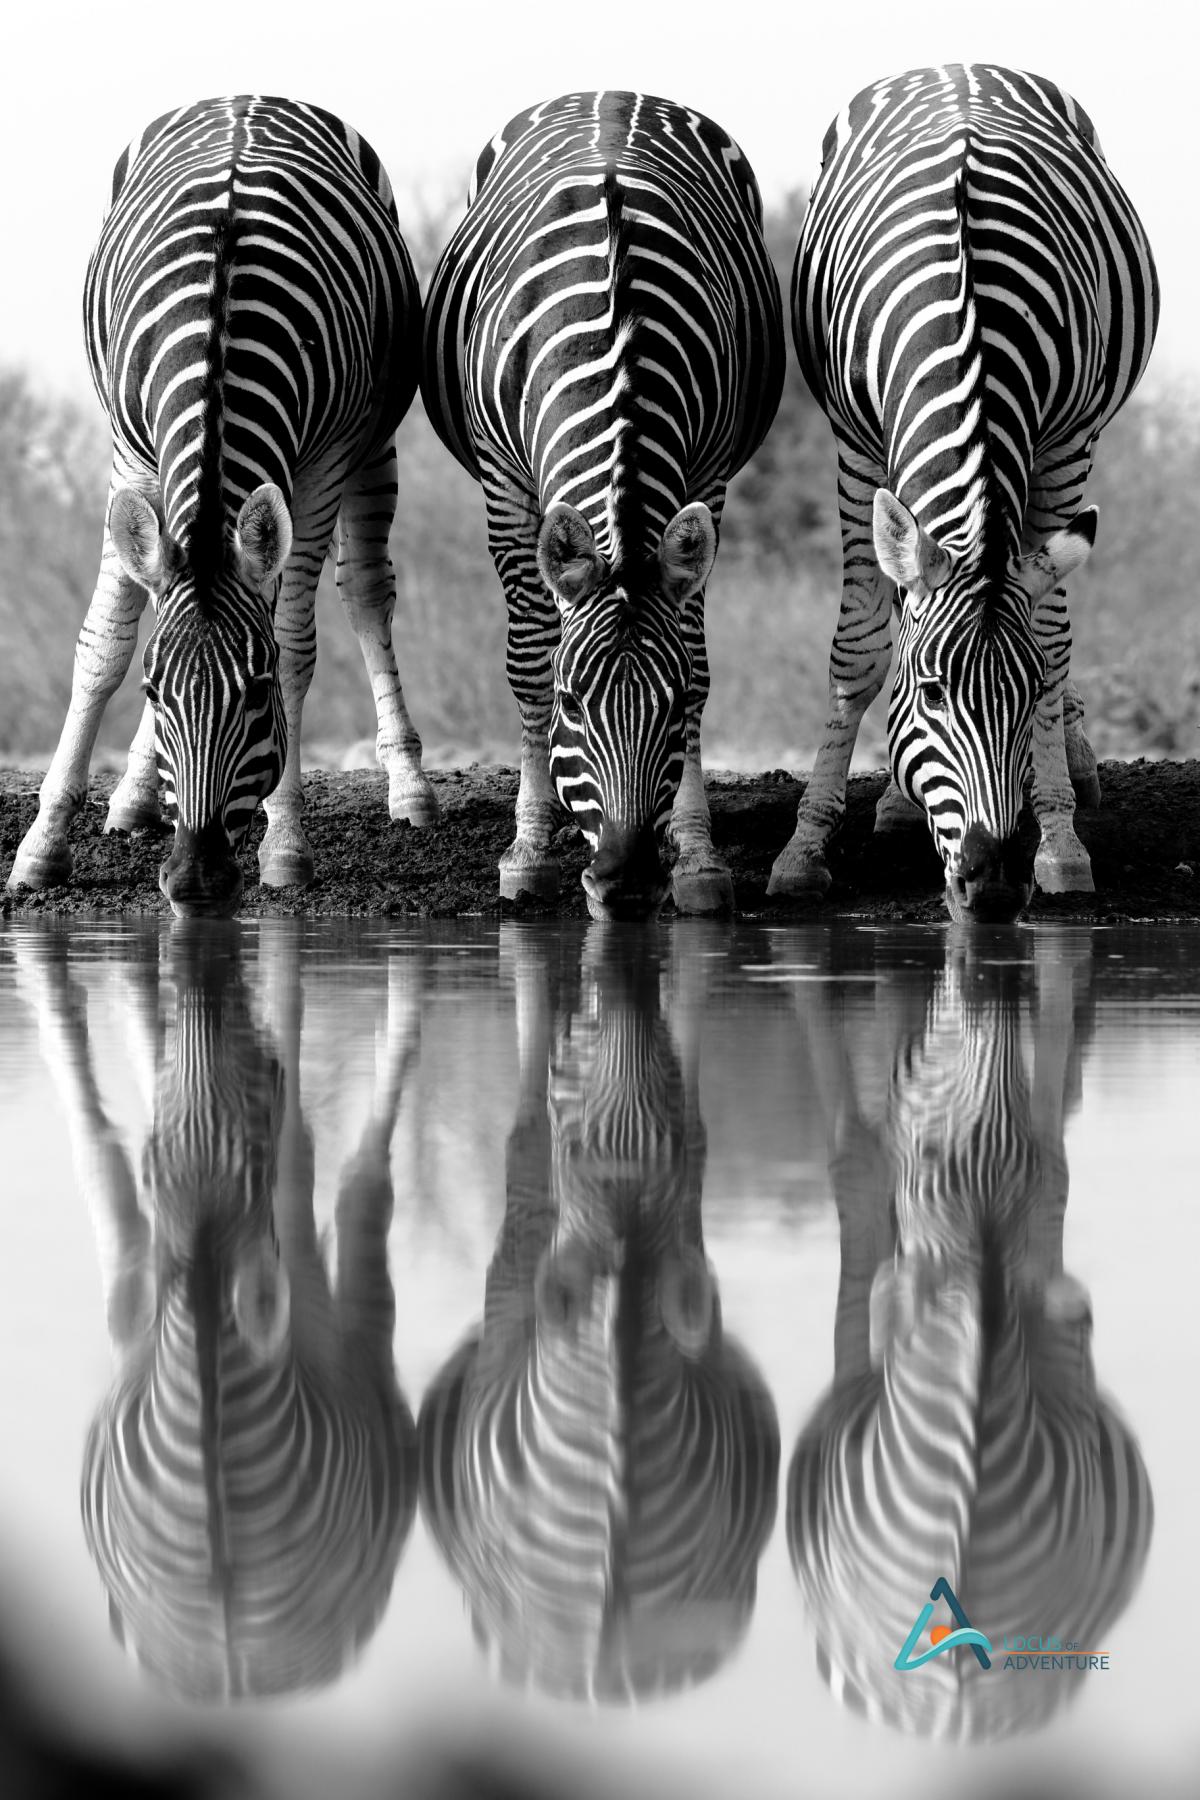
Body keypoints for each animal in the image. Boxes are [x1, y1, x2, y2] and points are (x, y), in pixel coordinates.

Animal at [7, 95, 435, 919]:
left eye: (260, 693)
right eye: (153, 691)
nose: (195, 884)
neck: (220, 312)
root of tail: (252, 95)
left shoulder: (323, 463)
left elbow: (296, 643)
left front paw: (286, 844)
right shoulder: (130, 454)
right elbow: (105, 642)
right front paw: (42, 846)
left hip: (374, 443)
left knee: (367, 593)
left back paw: (411, 790)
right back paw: (133, 798)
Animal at [420, 92, 785, 918]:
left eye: (674, 706)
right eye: (571, 703)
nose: (624, 882)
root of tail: (609, 93)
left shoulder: (708, 475)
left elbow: (700, 656)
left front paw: (697, 855)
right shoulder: (505, 486)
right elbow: (528, 656)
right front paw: (528, 851)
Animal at [767, 66, 1159, 921]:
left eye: (1028, 691)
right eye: (934, 693)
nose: (995, 884)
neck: (965, 302)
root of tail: (961, 66)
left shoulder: (1067, 442)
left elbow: (1053, 636)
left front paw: (1059, 838)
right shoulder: (855, 448)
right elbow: (861, 646)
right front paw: (805, 847)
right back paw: (893, 804)